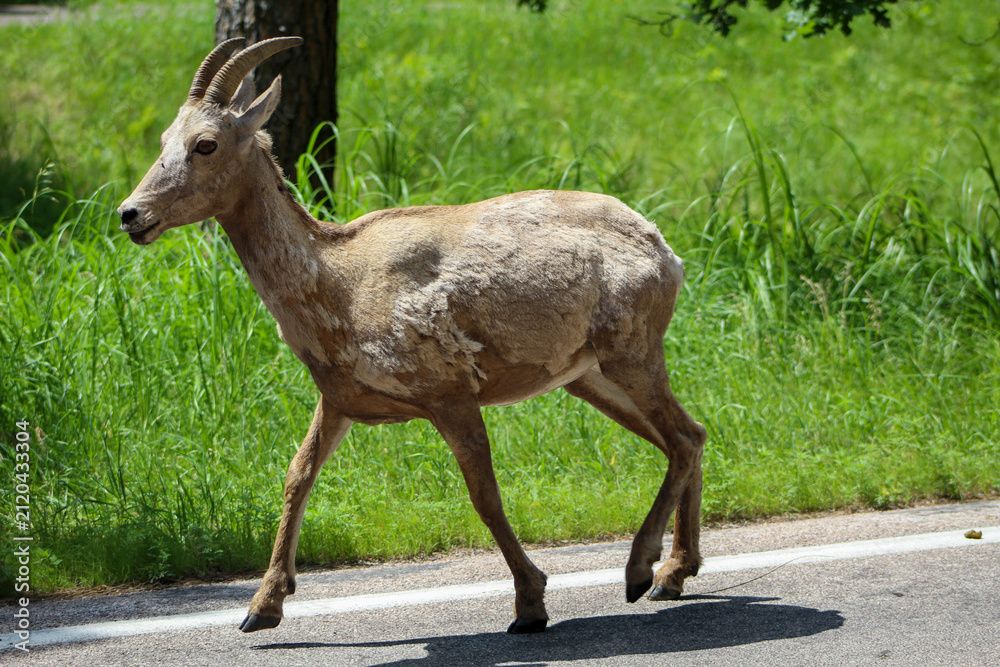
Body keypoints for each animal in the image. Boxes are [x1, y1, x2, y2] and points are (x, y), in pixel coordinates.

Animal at [117, 36, 707, 635]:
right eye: (163, 139)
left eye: (205, 144)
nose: (130, 214)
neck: (337, 291)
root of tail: (666, 252)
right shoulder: (340, 399)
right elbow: (296, 475)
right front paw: (261, 608)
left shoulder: (449, 392)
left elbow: (484, 497)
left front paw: (530, 604)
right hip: (584, 373)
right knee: (689, 435)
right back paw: (674, 573)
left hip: (631, 347)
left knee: (683, 437)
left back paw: (641, 571)